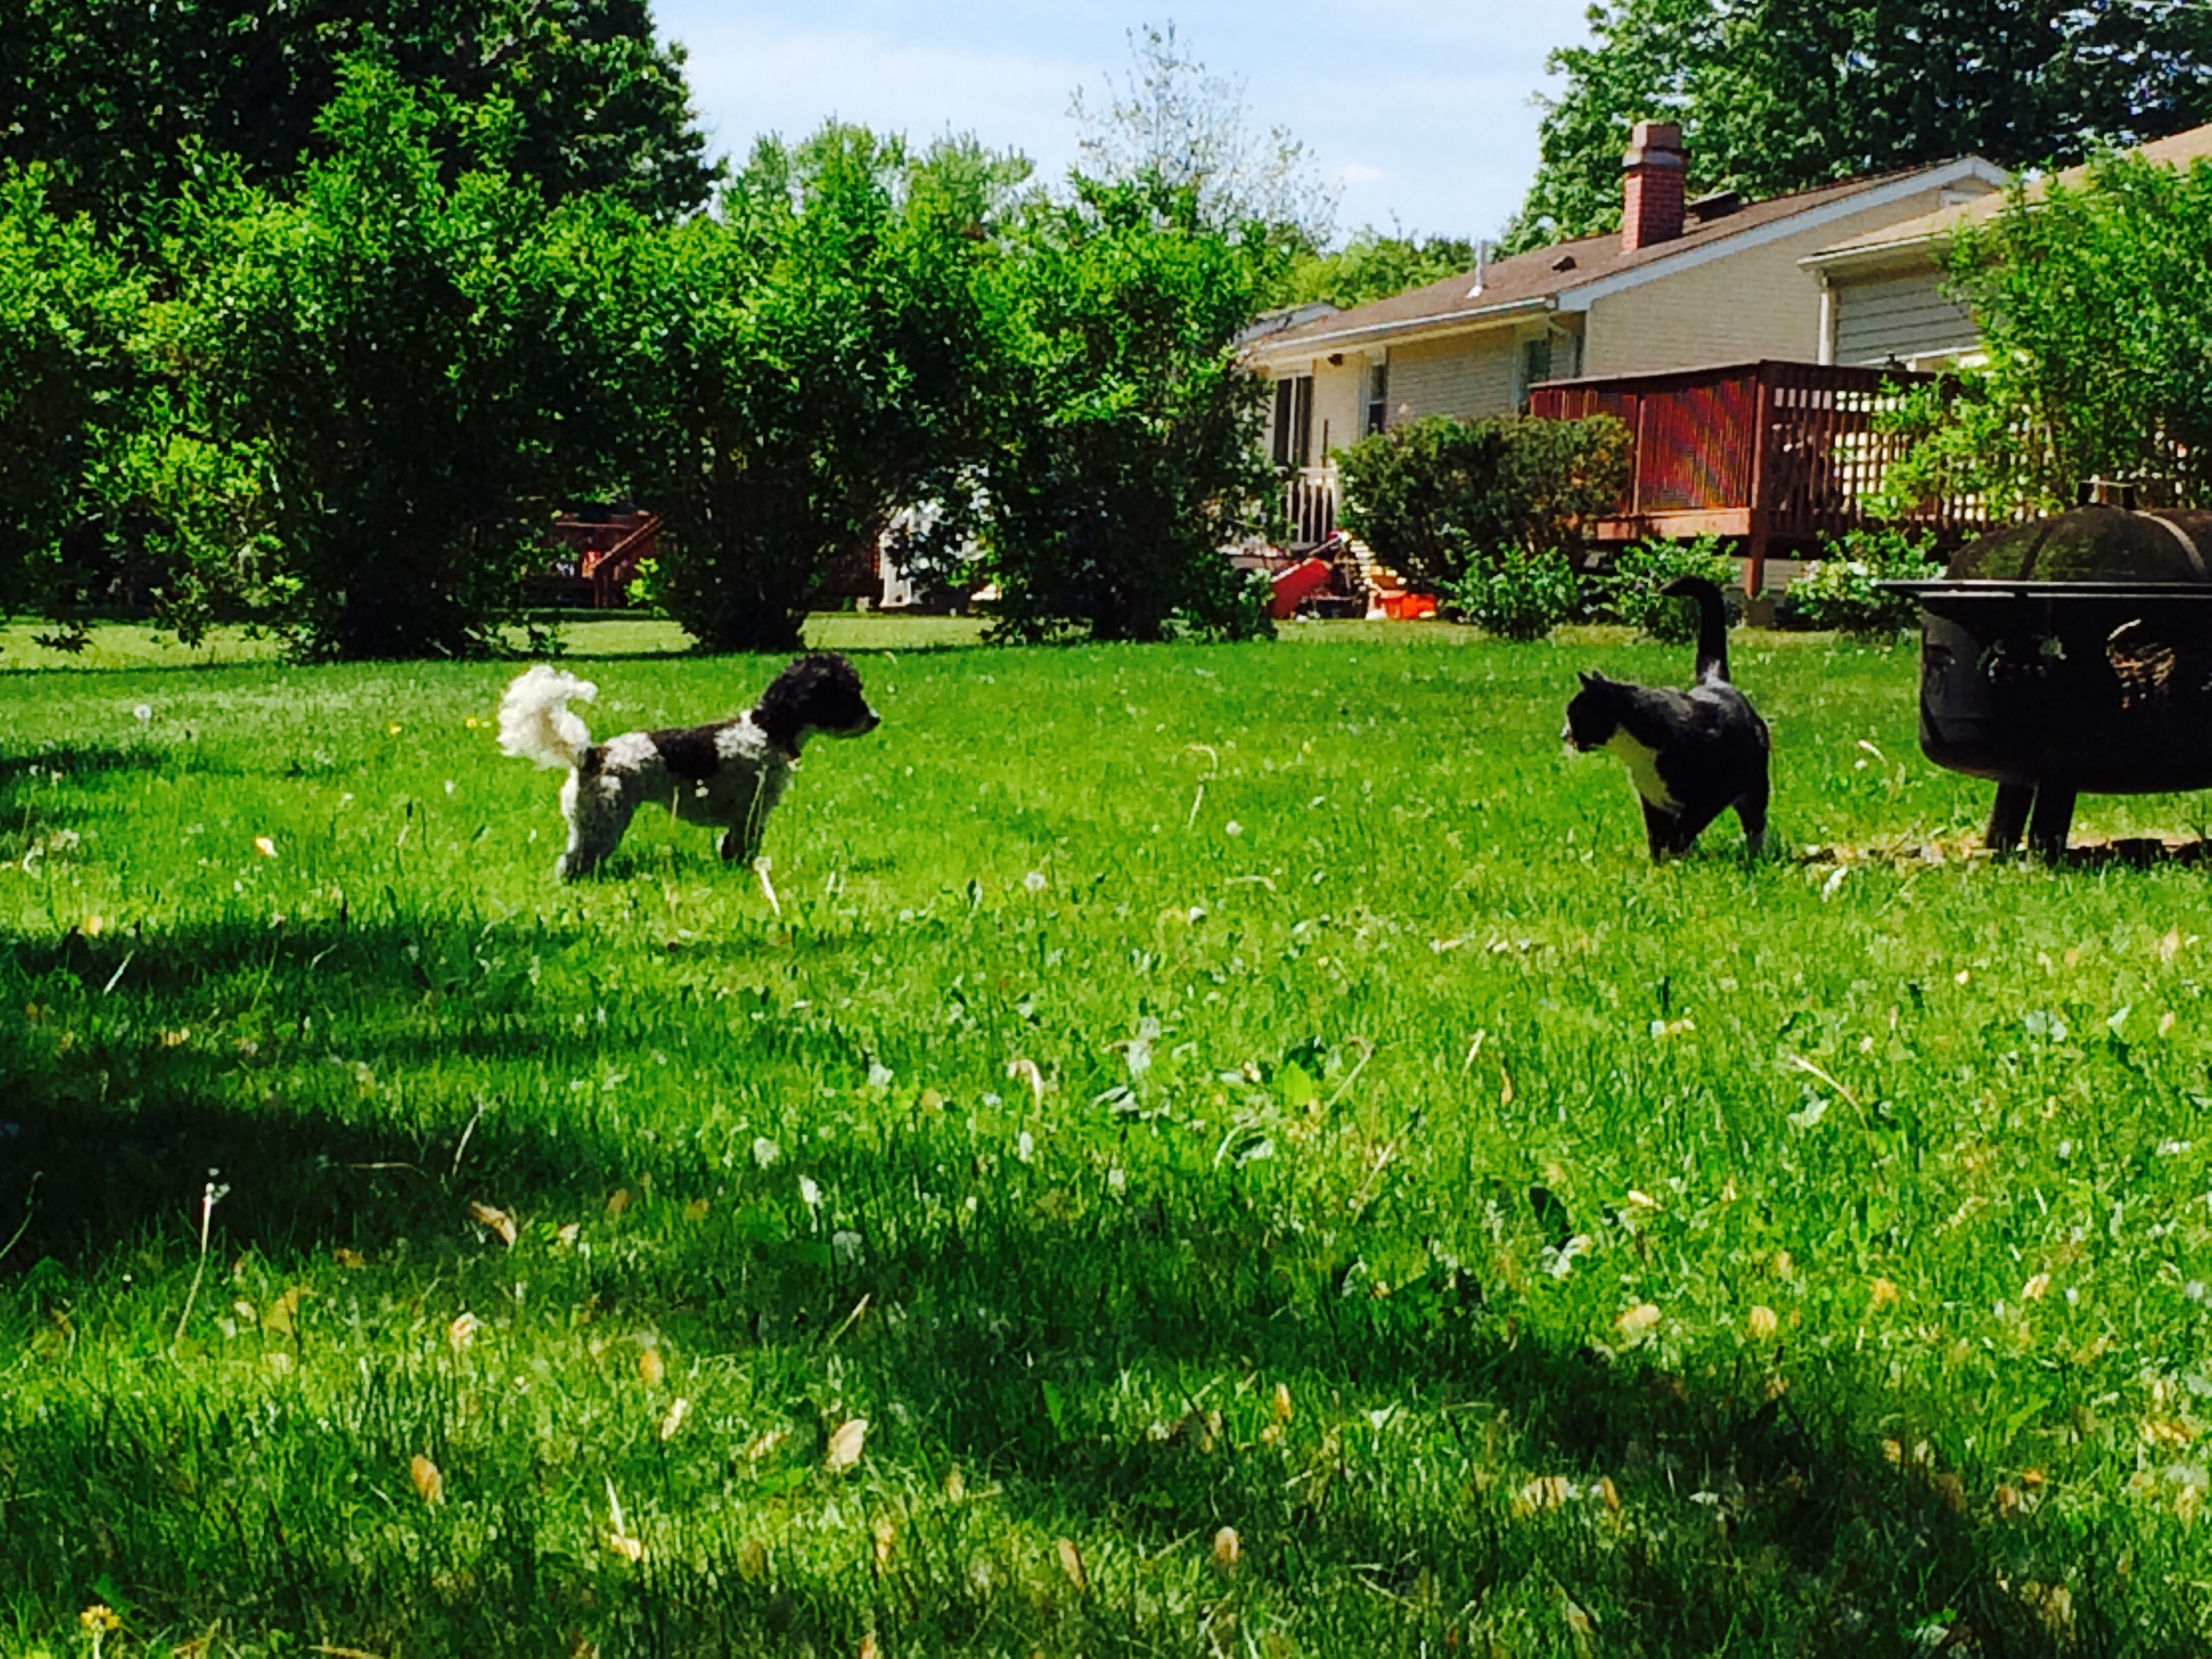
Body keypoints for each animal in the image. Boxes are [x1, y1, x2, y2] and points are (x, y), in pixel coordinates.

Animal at [497, 653, 879, 880]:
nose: (875, 719)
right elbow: (745, 846)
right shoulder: (751, 811)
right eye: (849, 693)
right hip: (604, 821)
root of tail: (592, 754)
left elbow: (730, 847)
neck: (767, 730)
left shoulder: (741, 817)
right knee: (575, 861)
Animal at [1563, 575, 1770, 861]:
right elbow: (1657, 837)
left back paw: (1755, 855)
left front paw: (1676, 857)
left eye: (1574, 715)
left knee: (1755, 822)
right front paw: (1662, 864)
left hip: (1755, 784)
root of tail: (1715, 682)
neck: (1637, 752)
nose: (1564, 734)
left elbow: (1684, 829)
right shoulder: (1652, 800)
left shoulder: (1711, 795)